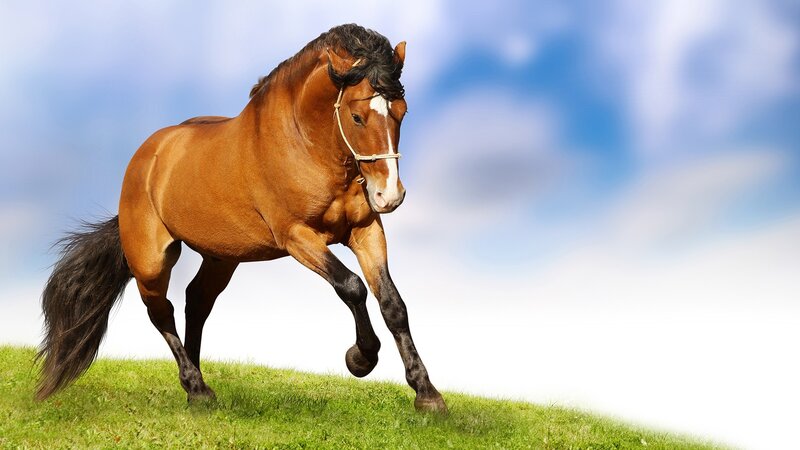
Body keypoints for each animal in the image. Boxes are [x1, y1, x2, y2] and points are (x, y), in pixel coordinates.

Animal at [36, 24, 447, 413]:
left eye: (402, 112)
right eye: (358, 116)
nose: (389, 195)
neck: (306, 145)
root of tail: (146, 157)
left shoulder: (365, 230)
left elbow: (392, 303)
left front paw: (427, 395)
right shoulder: (297, 236)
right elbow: (351, 286)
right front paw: (360, 358)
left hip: (221, 257)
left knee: (196, 302)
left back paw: (196, 386)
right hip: (151, 260)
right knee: (161, 312)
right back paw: (197, 389)